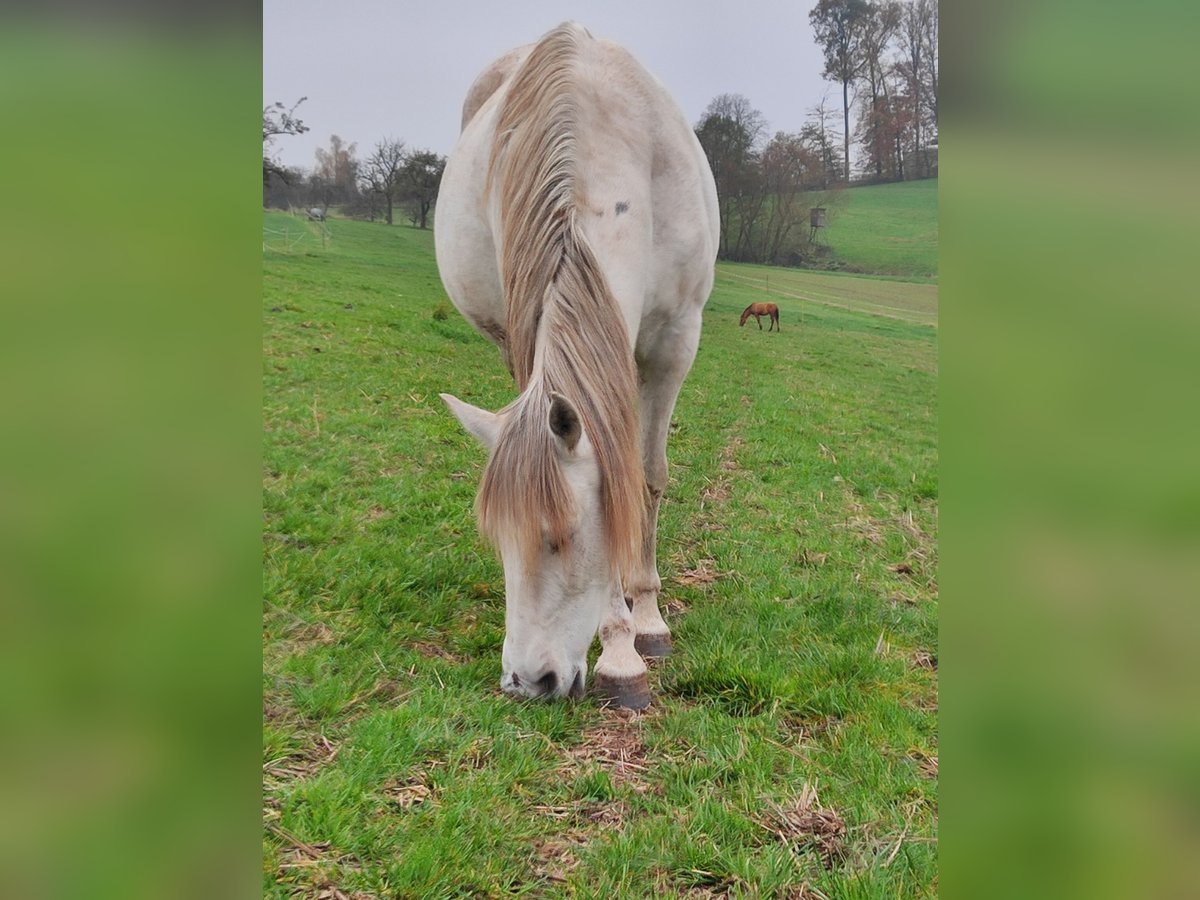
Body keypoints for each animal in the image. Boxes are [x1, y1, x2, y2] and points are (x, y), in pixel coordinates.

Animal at [436, 21, 715, 710]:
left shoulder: (675, 342)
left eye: (564, 535)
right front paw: (619, 647)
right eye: (499, 542)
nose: (526, 682)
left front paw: (645, 626)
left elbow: (644, 479)